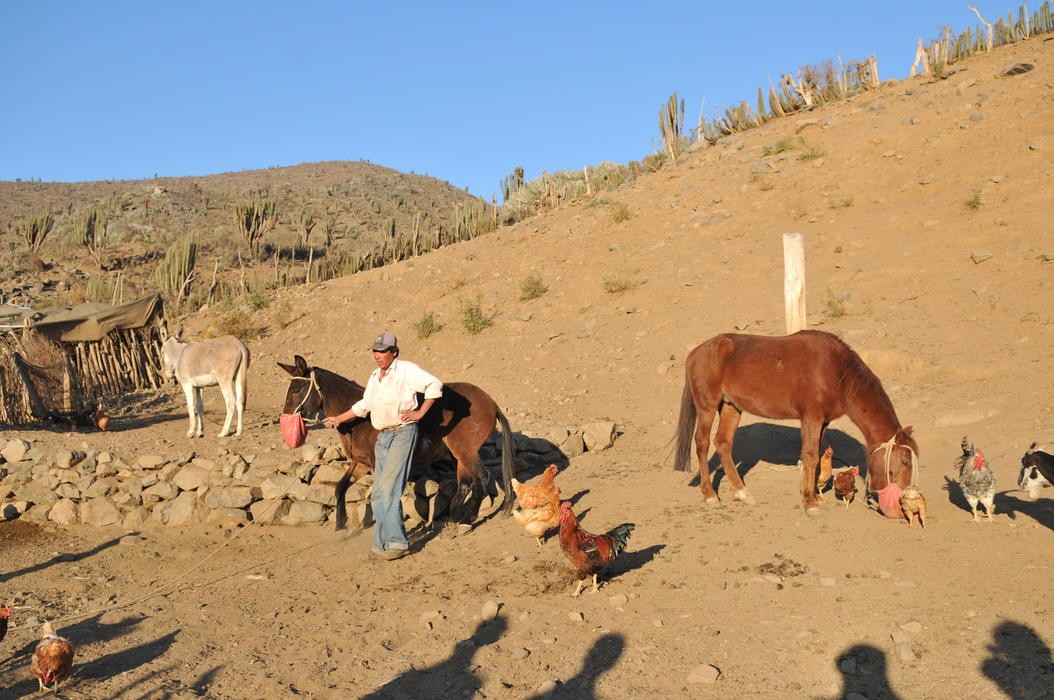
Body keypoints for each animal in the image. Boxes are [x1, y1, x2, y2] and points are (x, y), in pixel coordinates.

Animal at [278, 356, 512, 531]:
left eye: (297, 389)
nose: (285, 418)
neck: (360, 421)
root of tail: (491, 403)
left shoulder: (376, 464)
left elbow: (382, 494)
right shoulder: (360, 463)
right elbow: (340, 487)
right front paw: (340, 525)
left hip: (466, 452)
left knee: (482, 479)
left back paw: (467, 520)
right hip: (460, 454)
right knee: (466, 484)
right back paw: (453, 517)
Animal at [674, 328, 914, 514]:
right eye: (904, 461)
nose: (902, 500)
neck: (837, 371)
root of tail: (696, 352)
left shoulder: (823, 422)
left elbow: (817, 455)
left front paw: (814, 495)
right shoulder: (811, 418)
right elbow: (810, 456)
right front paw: (810, 503)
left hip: (731, 407)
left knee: (723, 443)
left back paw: (742, 493)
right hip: (707, 407)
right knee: (702, 443)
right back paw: (710, 495)